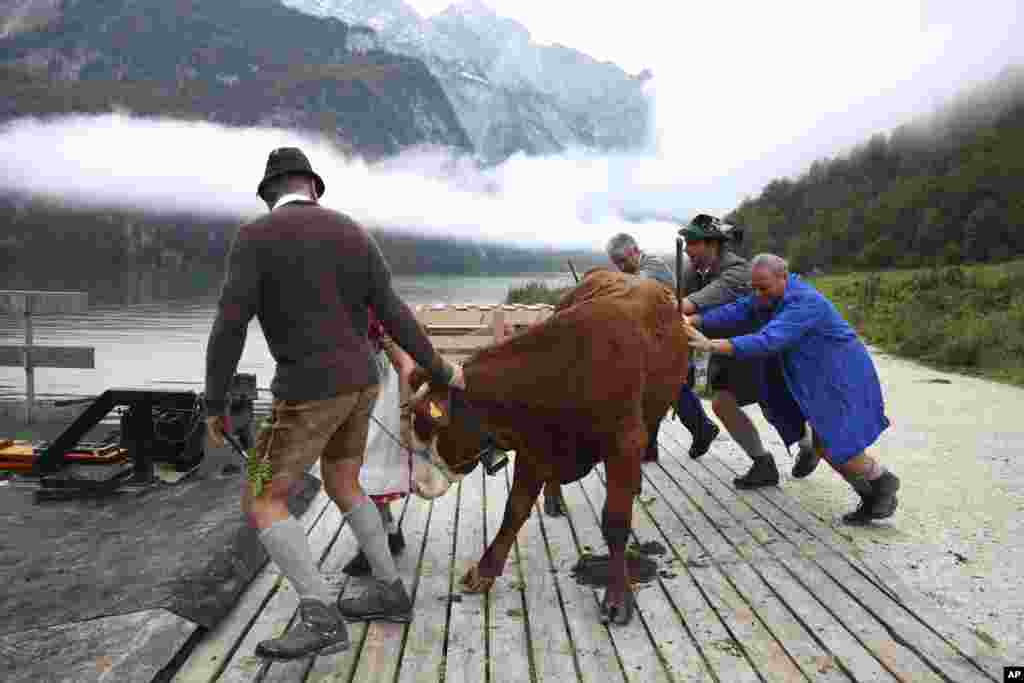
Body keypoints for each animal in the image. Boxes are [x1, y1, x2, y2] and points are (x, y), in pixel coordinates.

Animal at [407, 266, 688, 626]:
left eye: (430, 428)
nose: (416, 485)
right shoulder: (534, 447)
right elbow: (514, 510)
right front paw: (485, 571)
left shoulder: (624, 443)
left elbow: (615, 521)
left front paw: (617, 595)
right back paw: (554, 497)